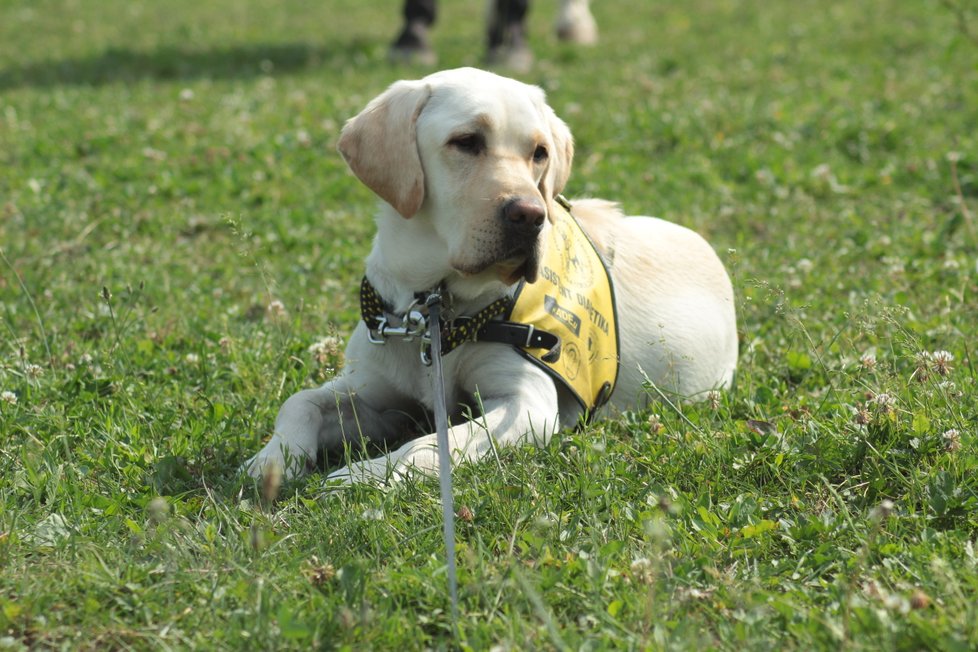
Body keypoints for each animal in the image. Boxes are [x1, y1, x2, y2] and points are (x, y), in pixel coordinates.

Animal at [242, 69, 732, 482]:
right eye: (466, 141)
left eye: (540, 153)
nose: (531, 216)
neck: (435, 307)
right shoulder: (374, 393)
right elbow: (299, 401)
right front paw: (272, 459)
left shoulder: (528, 403)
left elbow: (429, 445)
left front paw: (363, 476)